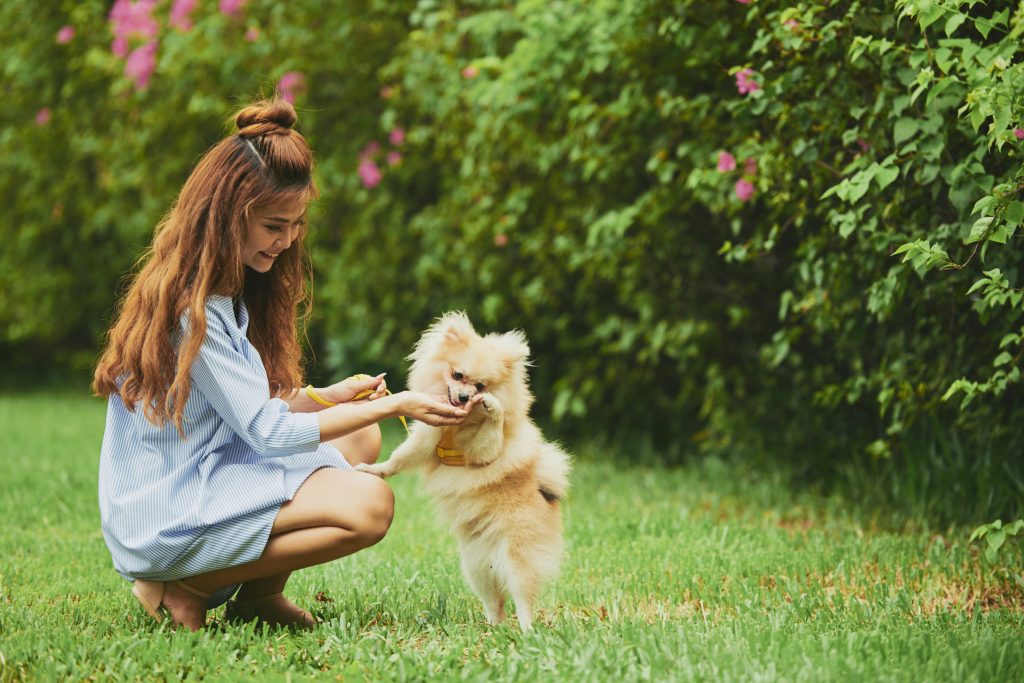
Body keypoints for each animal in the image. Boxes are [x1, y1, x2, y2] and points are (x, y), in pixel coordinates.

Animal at [356, 311, 573, 630]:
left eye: (481, 386)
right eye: (457, 376)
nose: (462, 397)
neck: (457, 426)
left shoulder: (482, 453)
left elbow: (491, 435)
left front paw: (493, 408)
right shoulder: (426, 439)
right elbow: (399, 458)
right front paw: (376, 470)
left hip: (519, 557)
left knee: (522, 599)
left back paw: (527, 630)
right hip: (475, 566)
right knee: (494, 601)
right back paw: (494, 627)